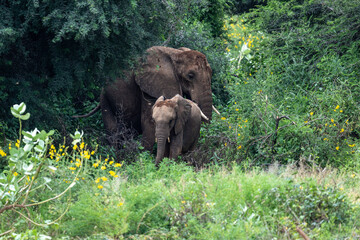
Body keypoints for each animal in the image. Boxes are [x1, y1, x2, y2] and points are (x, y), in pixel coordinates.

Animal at [74, 46, 212, 151]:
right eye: (190, 76)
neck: (176, 54)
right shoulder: (148, 88)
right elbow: (149, 123)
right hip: (105, 97)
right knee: (113, 130)